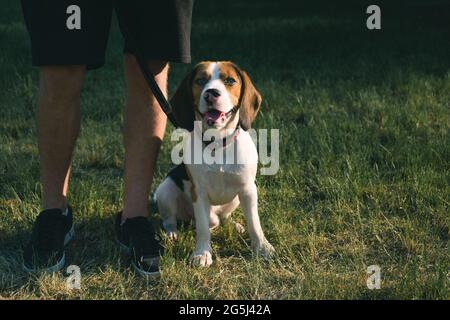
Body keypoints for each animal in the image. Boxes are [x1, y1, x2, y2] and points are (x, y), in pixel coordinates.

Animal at [155, 61, 274, 266]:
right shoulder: (199, 193)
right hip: (165, 190)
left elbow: (255, 223)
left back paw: (234, 225)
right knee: (171, 219)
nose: (211, 93)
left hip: (235, 199)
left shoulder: (248, 189)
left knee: (222, 218)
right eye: (200, 80)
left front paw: (262, 248)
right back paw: (172, 233)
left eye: (230, 81)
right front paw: (202, 254)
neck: (218, 143)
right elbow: (203, 228)